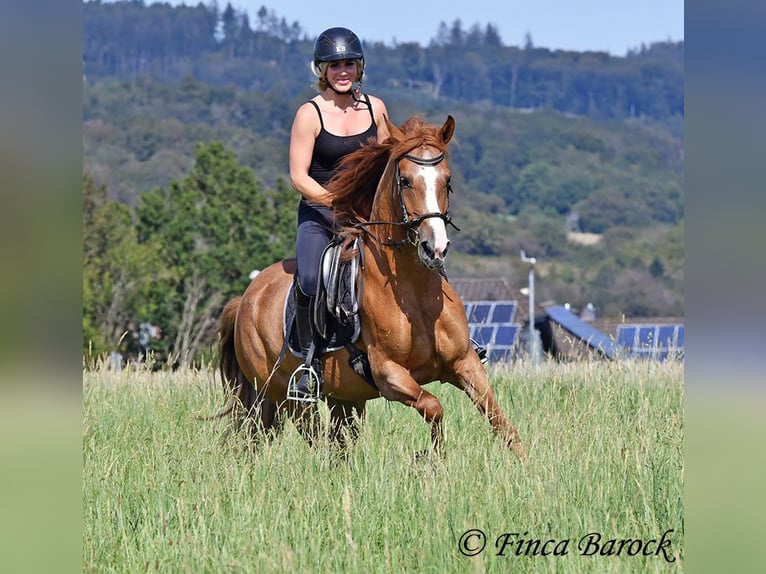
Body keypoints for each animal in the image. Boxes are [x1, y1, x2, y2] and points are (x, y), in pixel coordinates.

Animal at [219, 115, 524, 462]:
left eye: (447, 180)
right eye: (405, 181)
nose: (435, 249)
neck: (414, 292)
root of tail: (246, 298)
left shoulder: (465, 362)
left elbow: (500, 421)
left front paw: (525, 464)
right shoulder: (388, 374)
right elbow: (434, 407)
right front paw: (429, 457)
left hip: (344, 397)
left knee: (335, 441)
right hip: (286, 394)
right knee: (314, 438)